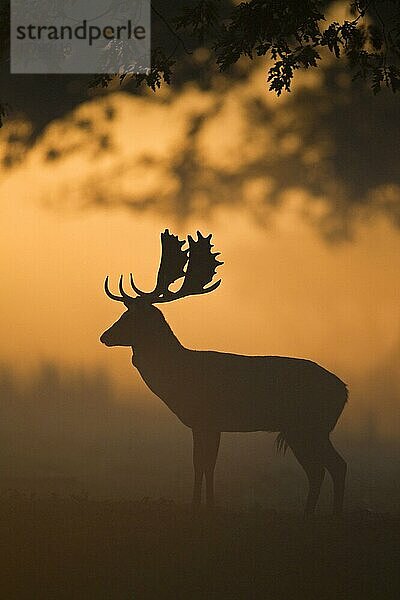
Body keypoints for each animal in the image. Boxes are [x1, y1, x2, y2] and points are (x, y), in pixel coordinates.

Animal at [100, 230, 346, 516]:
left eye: (131, 317)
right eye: (123, 314)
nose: (104, 336)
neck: (178, 372)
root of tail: (344, 391)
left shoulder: (204, 418)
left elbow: (201, 464)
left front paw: (199, 505)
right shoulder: (209, 424)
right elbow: (207, 464)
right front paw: (207, 504)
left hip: (309, 426)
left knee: (330, 466)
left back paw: (327, 514)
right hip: (305, 429)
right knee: (323, 468)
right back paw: (316, 514)